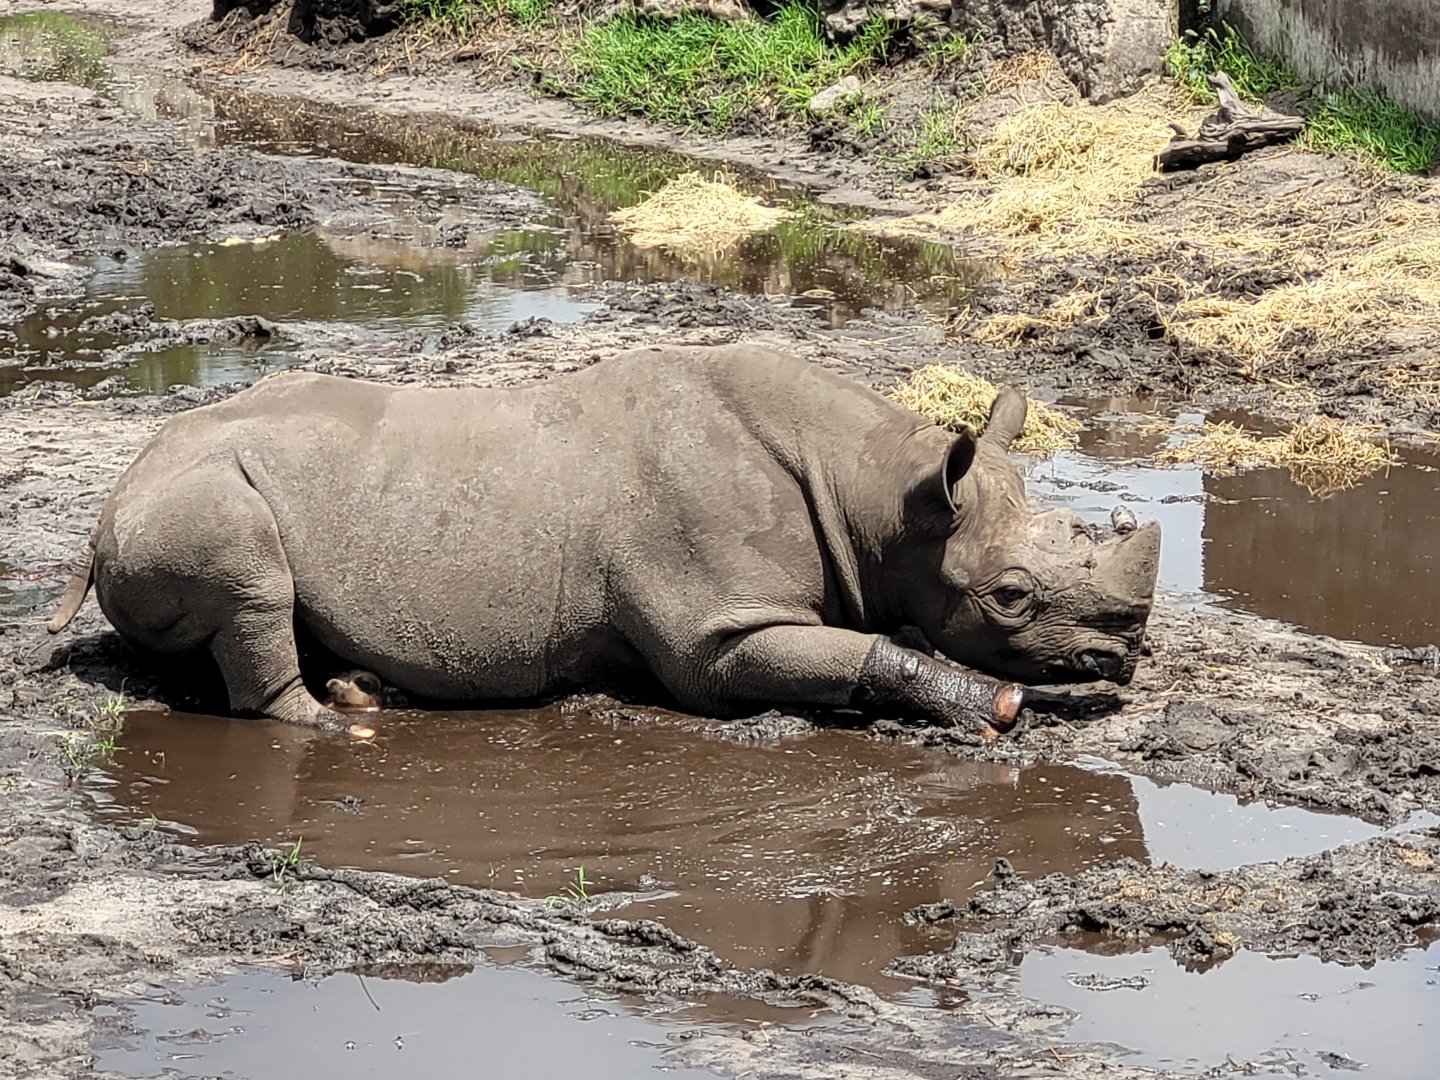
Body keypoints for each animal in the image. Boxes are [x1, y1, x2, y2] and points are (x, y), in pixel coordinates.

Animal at [47, 345, 1159, 735]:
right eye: (1010, 596)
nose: (1125, 653)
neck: (880, 494)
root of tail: (105, 505)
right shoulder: (717, 631)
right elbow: (869, 651)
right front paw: (1009, 707)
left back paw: (367, 691)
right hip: (181, 495)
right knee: (247, 572)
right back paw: (330, 725)